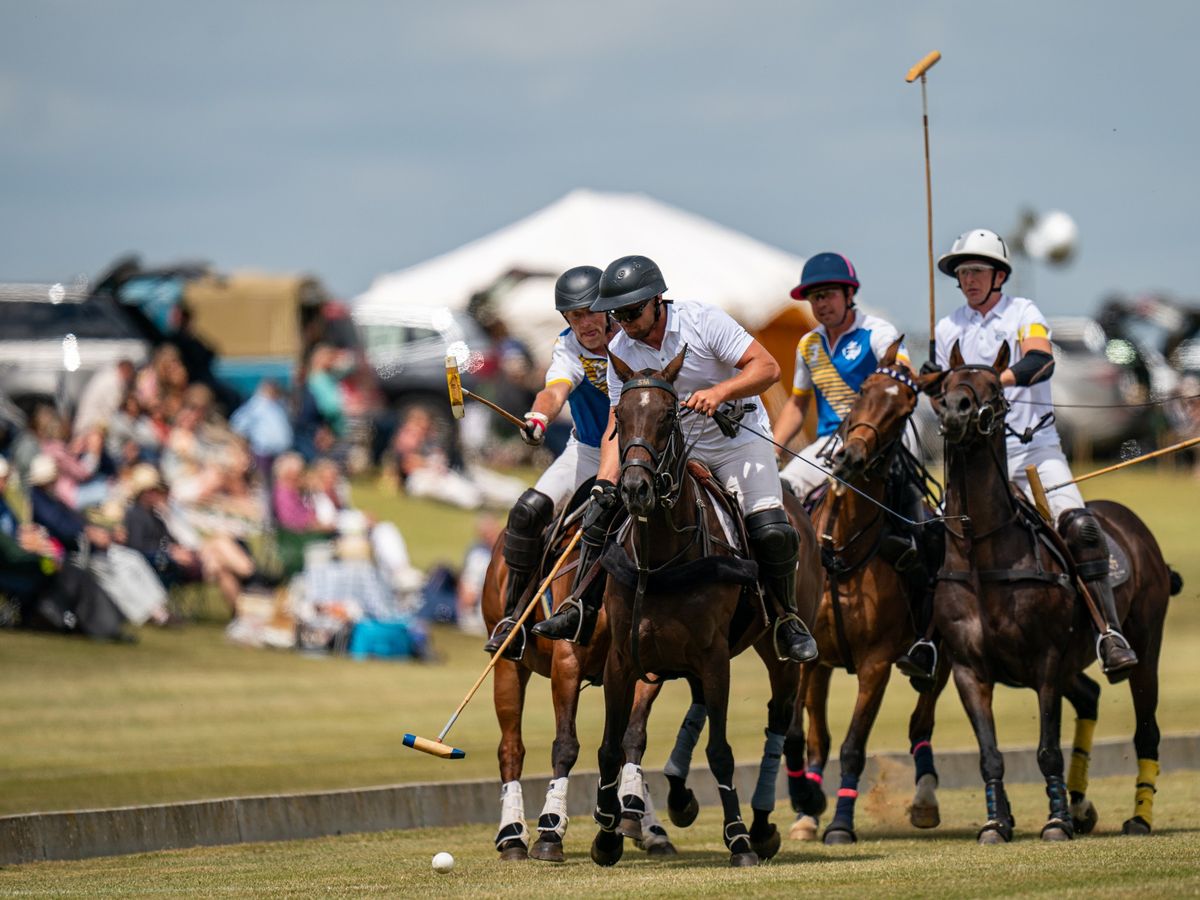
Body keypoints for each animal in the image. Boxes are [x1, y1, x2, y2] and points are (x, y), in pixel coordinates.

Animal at [482, 494, 681, 868]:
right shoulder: (567, 662)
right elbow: (566, 745)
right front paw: (550, 831)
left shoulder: (645, 670)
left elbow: (632, 738)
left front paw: (630, 813)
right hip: (506, 664)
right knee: (510, 748)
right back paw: (512, 835)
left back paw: (650, 828)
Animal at [585, 348, 820, 868]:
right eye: (619, 416)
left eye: (668, 416)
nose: (635, 489)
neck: (658, 558)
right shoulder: (623, 659)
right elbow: (611, 746)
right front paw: (607, 836)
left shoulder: (713, 658)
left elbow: (721, 752)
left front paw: (739, 840)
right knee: (698, 708)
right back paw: (680, 798)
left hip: (777, 654)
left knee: (778, 719)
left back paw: (761, 825)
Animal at [782, 340, 950, 849]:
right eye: (862, 395)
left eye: (905, 409)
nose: (849, 459)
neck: (841, 550)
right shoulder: (813, 657)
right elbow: (804, 736)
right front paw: (807, 805)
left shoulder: (875, 664)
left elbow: (854, 746)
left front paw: (839, 823)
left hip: (941, 656)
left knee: (921, 722)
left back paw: (924, 801)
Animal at [926, 340, 1171, 844]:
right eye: (945, 384)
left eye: (995, 389)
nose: (957, 411)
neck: (981, 554)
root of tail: (1129, 521)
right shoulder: (968, 670)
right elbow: (990, 754)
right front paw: (995, 823)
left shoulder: (1046, 662)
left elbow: (1046, 749)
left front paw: (1055, 821)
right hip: (1073, 664)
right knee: (1091, 696)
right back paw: (1080, 807)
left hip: (1145, 643)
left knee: (1146, 729)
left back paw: (1137, 817)